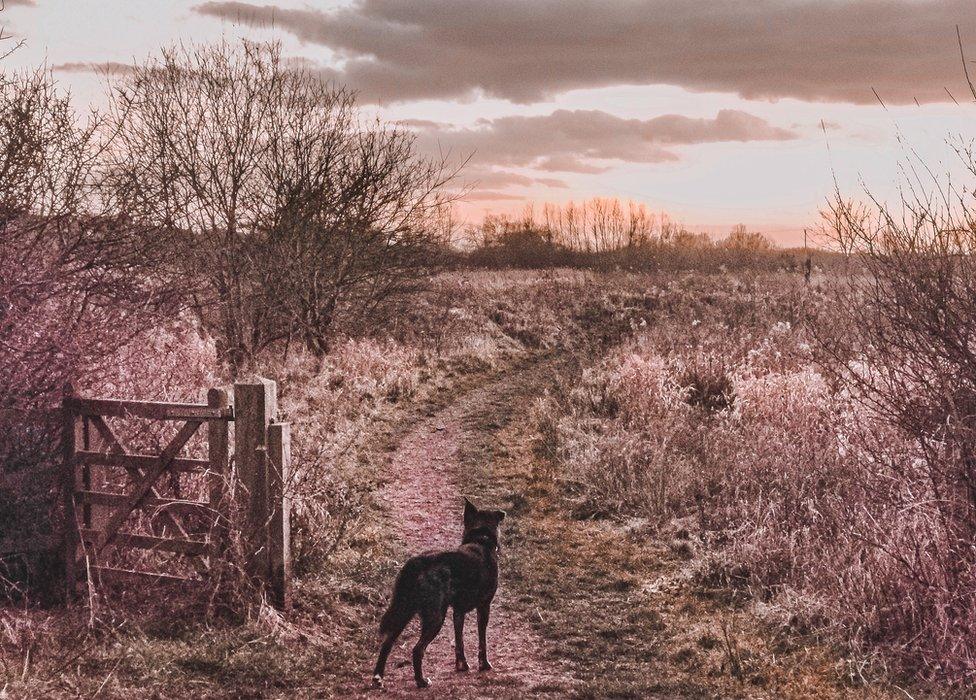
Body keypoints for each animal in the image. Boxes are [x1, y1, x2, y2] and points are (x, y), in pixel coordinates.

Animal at [372, 498, 508, 688]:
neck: (480, 540)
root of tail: (418, 562)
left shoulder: (458, 612)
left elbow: (459, 643)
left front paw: (461, 665)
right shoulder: (483, 607)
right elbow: (482, 642)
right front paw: (484, 665)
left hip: (404, 612)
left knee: (387, 643)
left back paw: (378, 678)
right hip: (435, 618)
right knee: (417, 650)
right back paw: (421, 681)